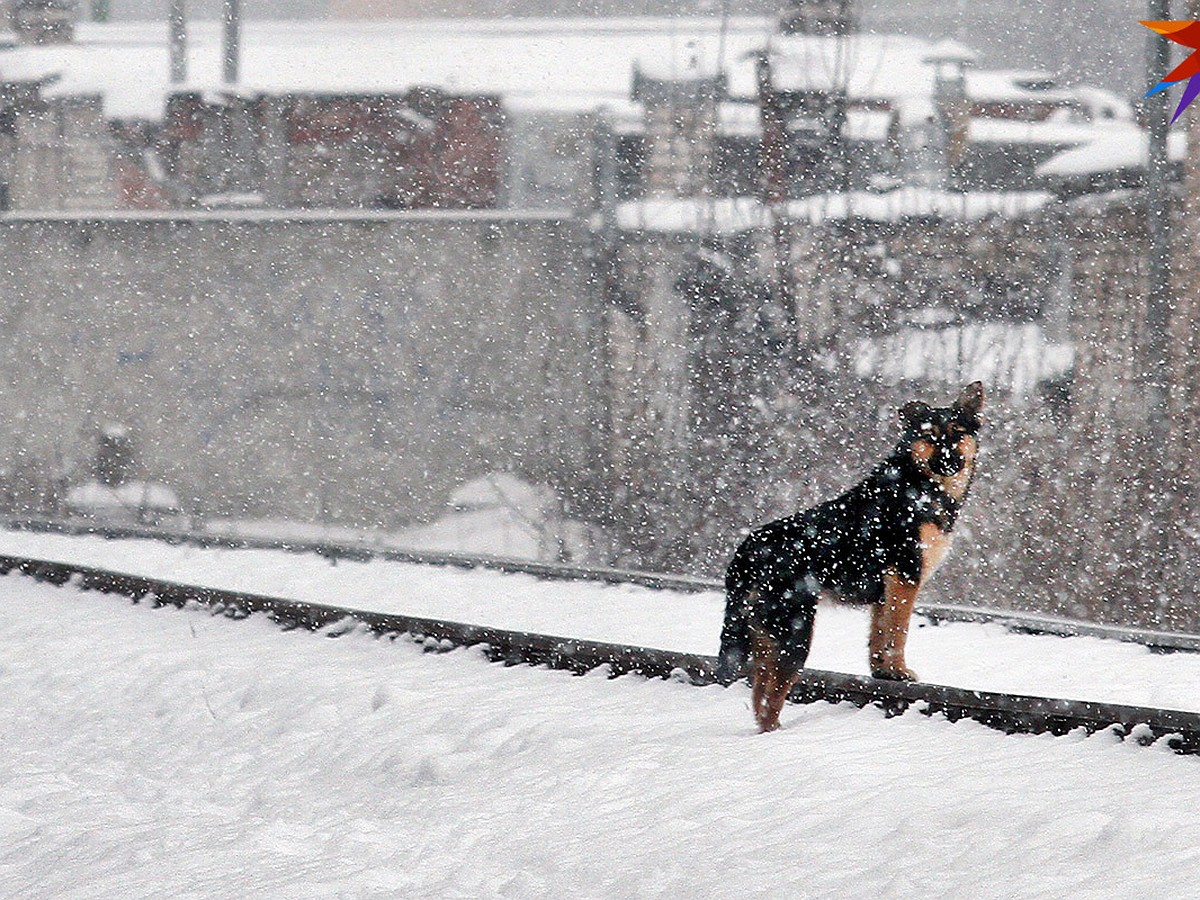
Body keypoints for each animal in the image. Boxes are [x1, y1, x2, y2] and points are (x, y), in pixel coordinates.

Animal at [710, 381, 984, 734]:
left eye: (957, 433)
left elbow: (879, 636)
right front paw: (900, 672)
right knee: (771, 697)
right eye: (930, 437)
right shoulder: (905, 577)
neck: (919, 484)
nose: (950, 461)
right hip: (795, 633)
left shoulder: (886, 590)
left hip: (767, 636)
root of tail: (745, 553)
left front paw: (884, 673)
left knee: (760, 697)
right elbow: (899, 633)